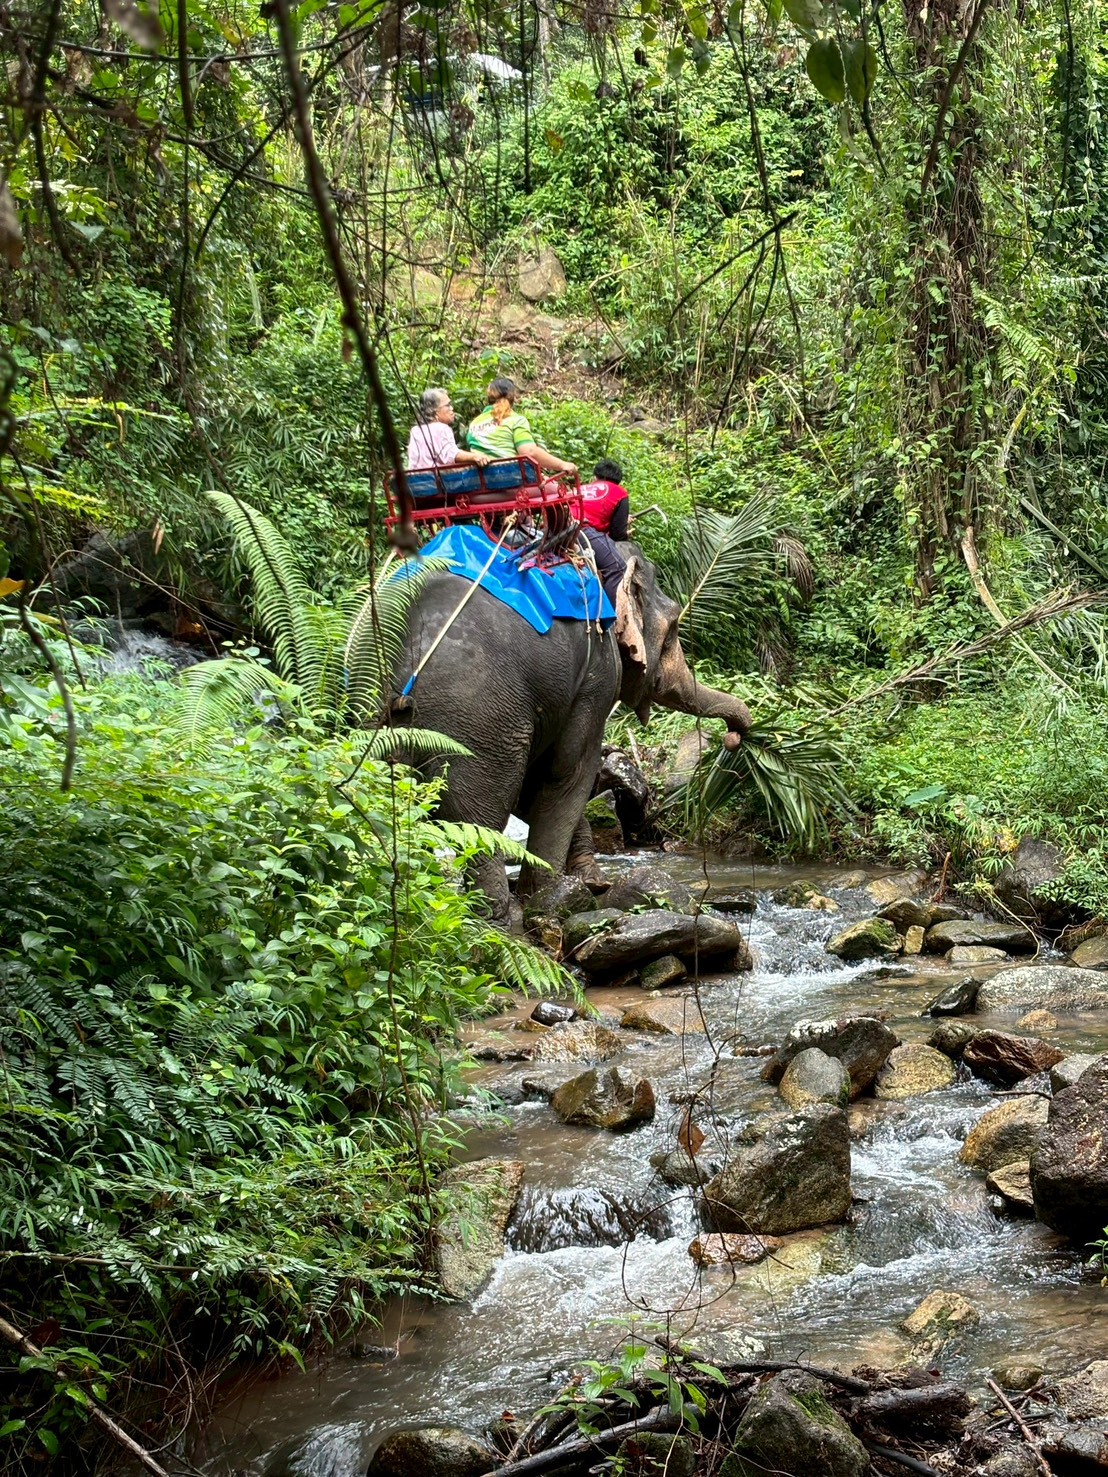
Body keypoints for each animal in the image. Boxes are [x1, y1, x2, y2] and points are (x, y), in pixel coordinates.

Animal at [389, 542, 752, 920]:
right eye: (674, 628)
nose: (734, 737)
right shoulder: (597, 677)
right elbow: (570, 771)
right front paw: (549, 894)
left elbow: (536, 784)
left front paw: (590, 881)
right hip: (478, 721)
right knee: (477, 815)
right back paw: (496, 914)